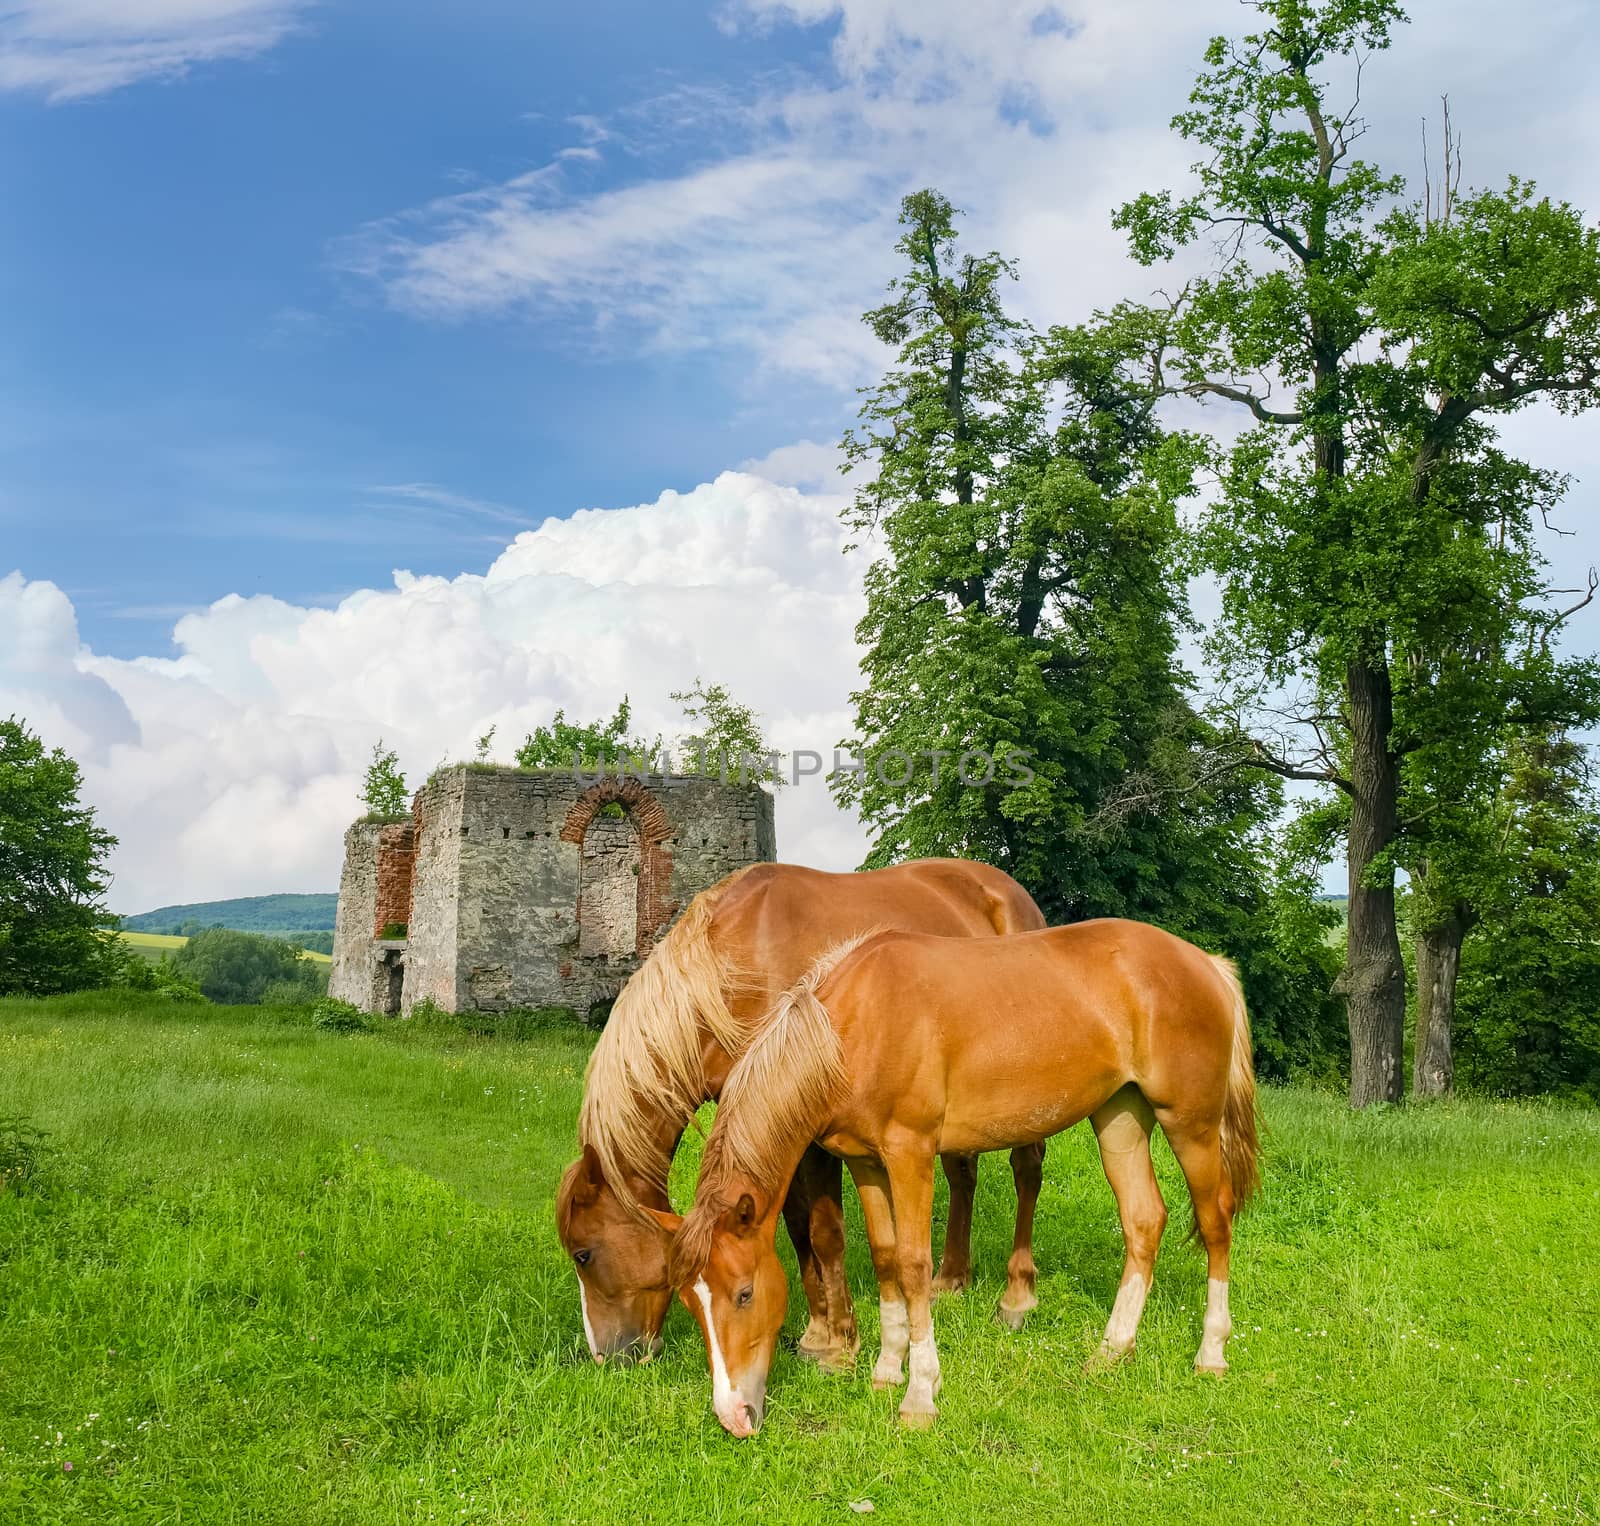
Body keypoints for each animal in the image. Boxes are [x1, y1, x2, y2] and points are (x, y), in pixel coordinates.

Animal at [553, 857, 1049, 1369]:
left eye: (583, 1254)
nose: (609, 1356)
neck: (735, 972)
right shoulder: (767, 1122)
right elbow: (795, 1227)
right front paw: (817, 1330)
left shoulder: (813, 1131)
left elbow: (825, 1230)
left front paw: (841, 1342)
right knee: (962, 1175)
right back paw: (950, 1279)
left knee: (1026, 1171)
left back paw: (1017, 1296)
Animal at [668, 914, 1254, 1439]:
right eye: (689, 1301)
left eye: (745, 1294)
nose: (734, 1417)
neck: (855, 1027)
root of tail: (1207, 964)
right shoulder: (867, 1163)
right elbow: (885, 1258)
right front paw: (886, 1371)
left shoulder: (910, 1154)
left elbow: (913, 1266)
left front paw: (919, 1396)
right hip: (1120, 1119)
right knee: (1143, 1221)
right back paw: (1111, 1350)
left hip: (1191, 1124)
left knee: (1216, 1222)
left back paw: (1210, 1353)